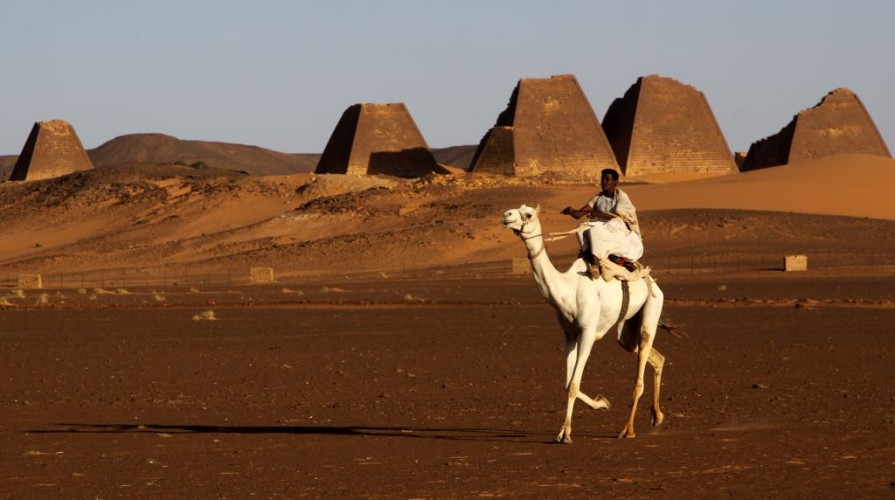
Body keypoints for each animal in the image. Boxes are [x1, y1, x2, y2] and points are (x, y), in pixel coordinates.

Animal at [500, 203, 668, 442]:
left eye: (528, 213)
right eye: (517, 209)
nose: (506, 216)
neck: (568, 290)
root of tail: (652, 280)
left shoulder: (588, 332)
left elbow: (573, 384)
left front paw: (566, 434)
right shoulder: (569, 334)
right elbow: (567, 383)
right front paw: (602, 403)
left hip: (652, 308)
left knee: (639, 377)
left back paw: (627, 429)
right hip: (627, 331)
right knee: (655, 357)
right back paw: (657, 416)